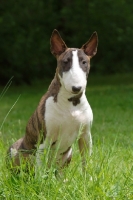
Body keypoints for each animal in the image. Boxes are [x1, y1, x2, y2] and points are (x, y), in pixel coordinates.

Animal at [7, 29, 98, 175]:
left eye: (84, 62)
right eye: (65, 62)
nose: (76, 88)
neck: (71, 102)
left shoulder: (85, 137)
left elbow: (86, 163)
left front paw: (88, 179)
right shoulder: (44, 141)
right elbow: (39, 171)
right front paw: (40, 181)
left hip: (68, 154)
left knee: (59, 173)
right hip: (14, 150)